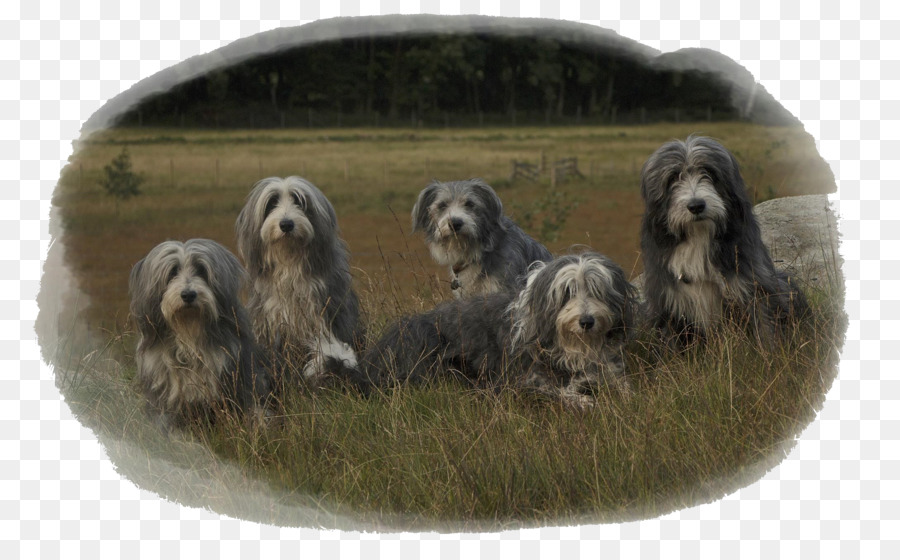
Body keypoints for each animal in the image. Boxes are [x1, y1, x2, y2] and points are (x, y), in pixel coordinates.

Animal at [362, 252, 636, 404]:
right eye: (567, 292)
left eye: (596, 290)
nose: (587, 321)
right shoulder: (522, 375)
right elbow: (553, 389)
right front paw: (583, 401)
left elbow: (622, 384)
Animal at [640, 136, 808, 346]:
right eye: (673, 177)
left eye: (709, 172)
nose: (696, 206)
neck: (698, 235)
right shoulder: (667, 301)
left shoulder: (754, 286)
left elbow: (765, 327)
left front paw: (772, 353)